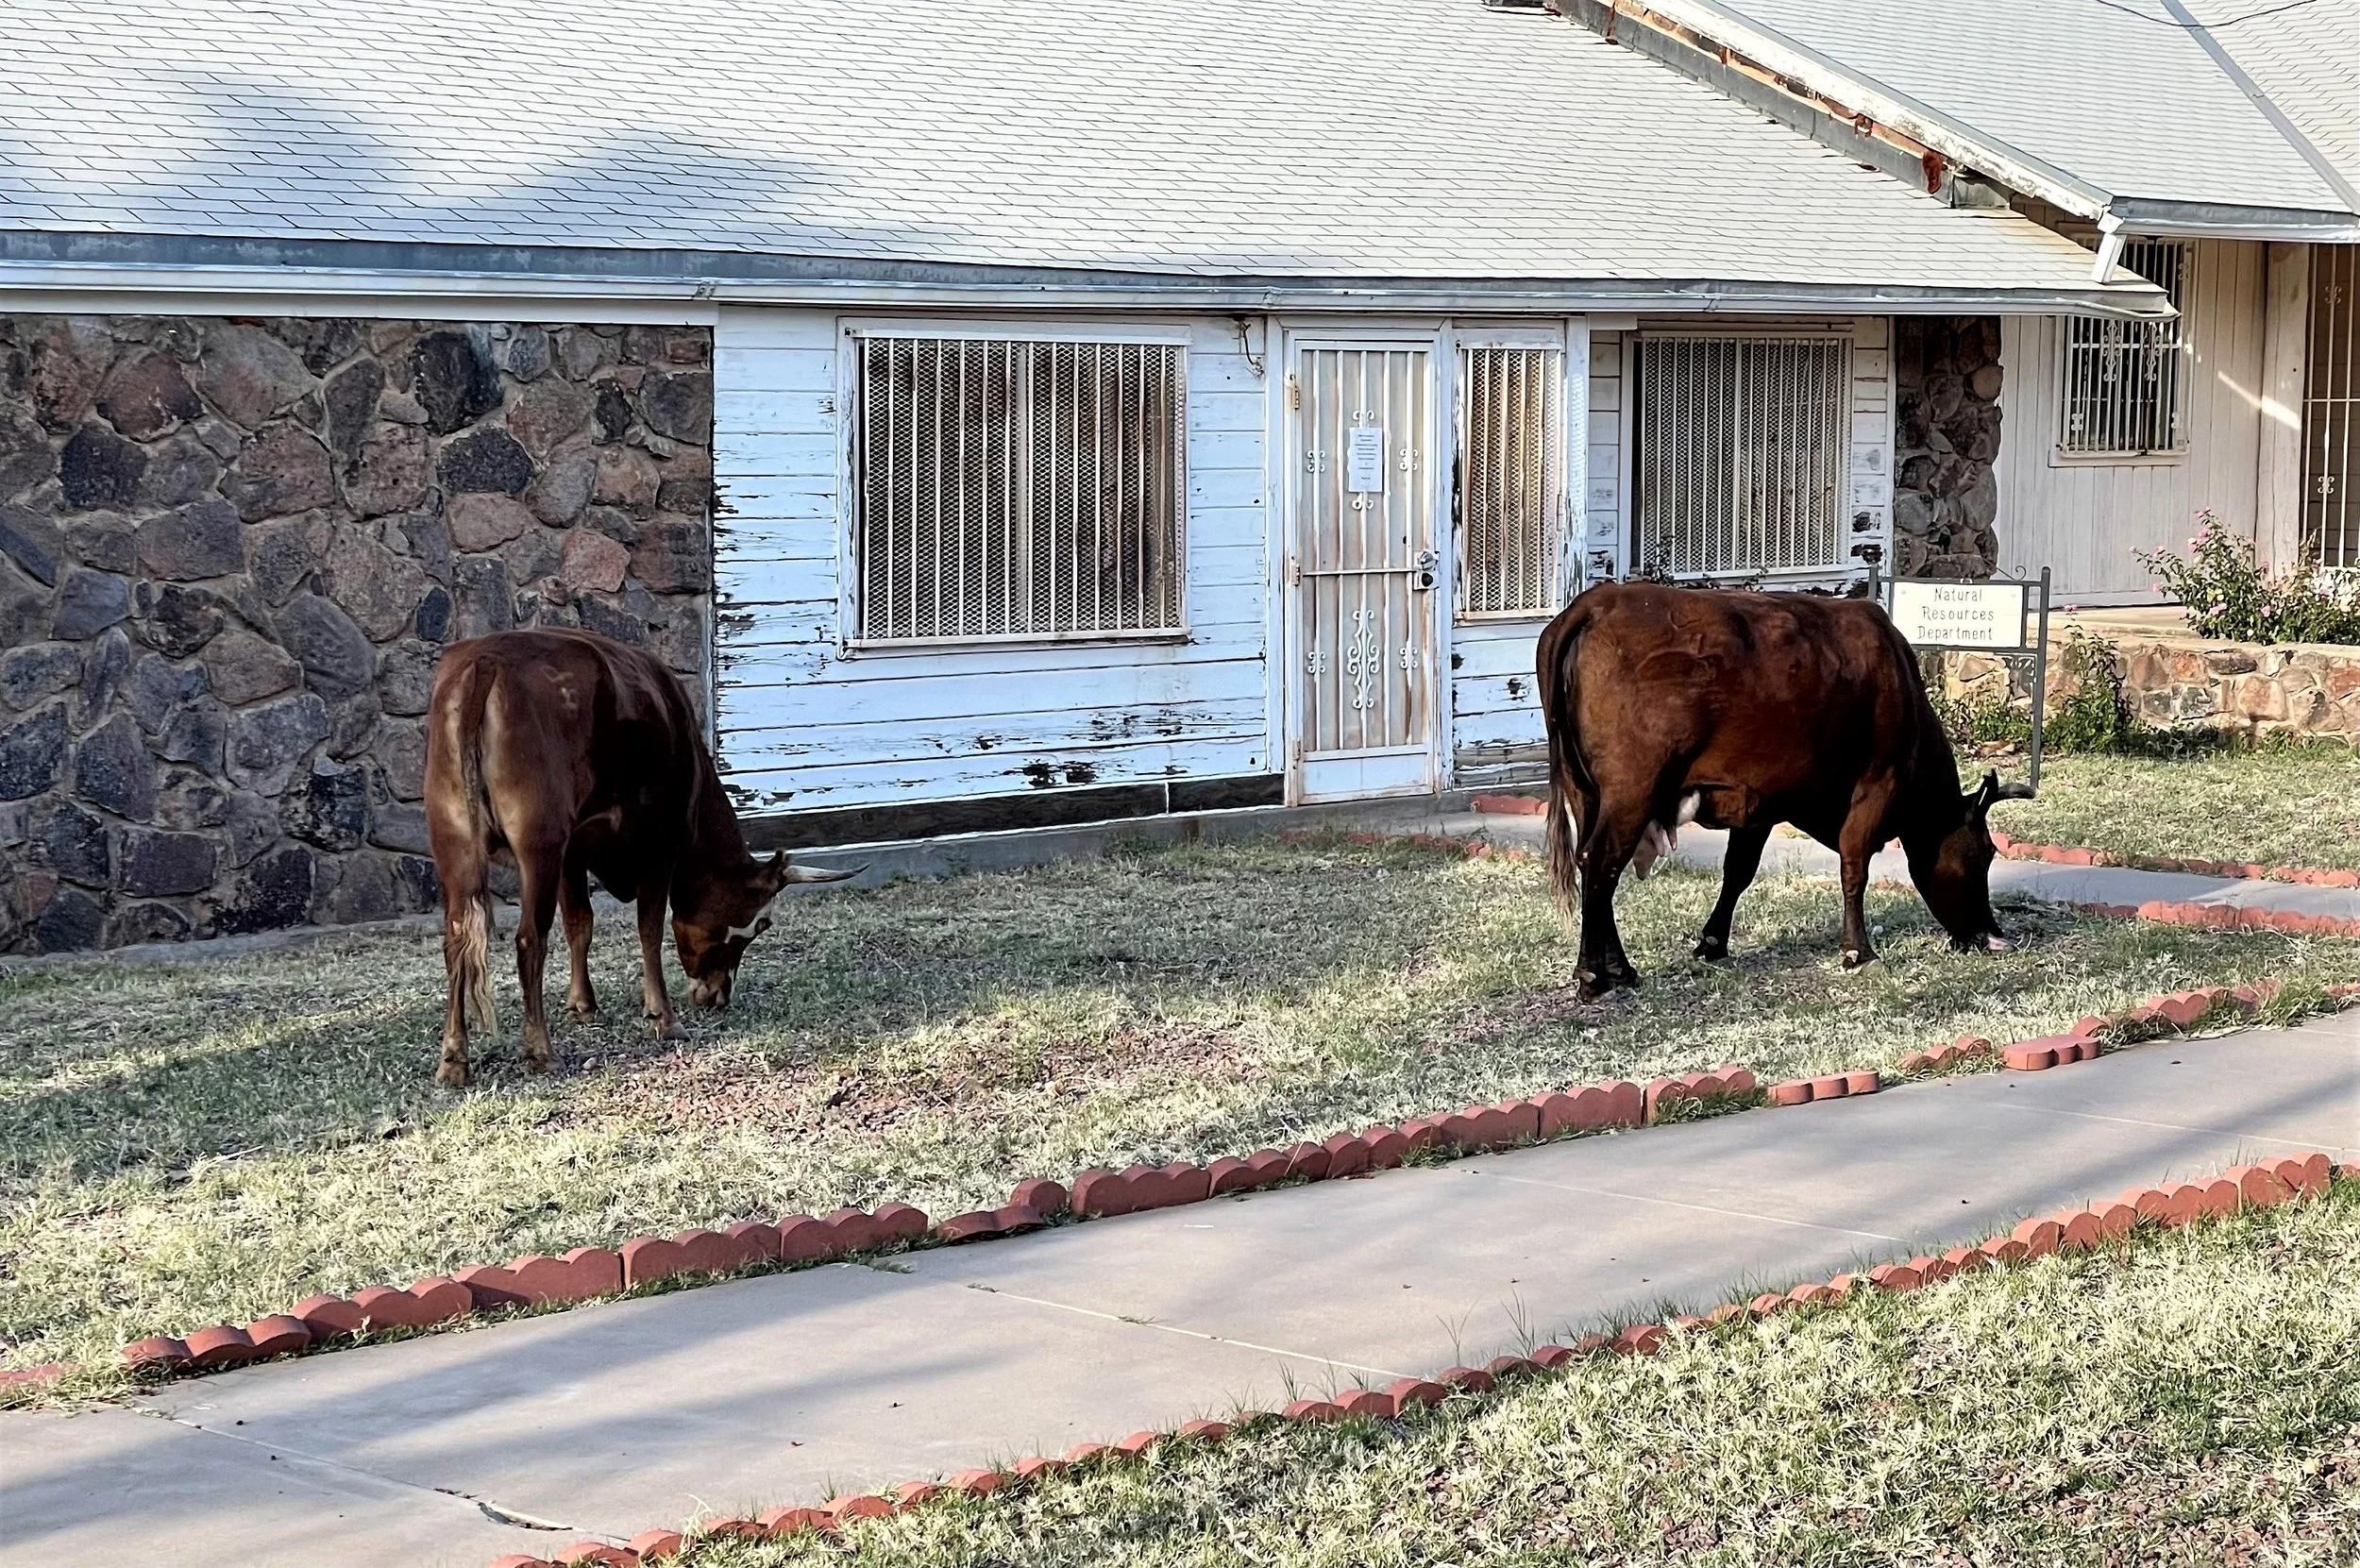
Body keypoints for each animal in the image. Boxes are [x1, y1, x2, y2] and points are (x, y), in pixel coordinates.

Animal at [424, 628, 855, 1087]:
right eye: (759, 925)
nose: (719, 995)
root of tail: (487, 659)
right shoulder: (657, 848)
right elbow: (649, 930)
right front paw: (663, 1017)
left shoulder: (573, 855)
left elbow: (580, 924)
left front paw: (583, 1005)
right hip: (538, 845)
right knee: (529, 939)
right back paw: (540, 1051)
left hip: (455, 840)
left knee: (456, 941)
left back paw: (454, 1058)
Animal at [1535, 582, 2031, 995]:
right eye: (1986, 853)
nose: (1994, 936)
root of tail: (1598, 601)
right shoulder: (1878, 781)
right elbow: (1855, 865)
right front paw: (1859, 952)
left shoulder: (1757, 800)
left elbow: (1738, 871)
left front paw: (1713, 942)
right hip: (1632, 790)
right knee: (1602, 863)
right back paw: (1595, 975)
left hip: (1586, 791)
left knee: (1593, 866)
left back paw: (1618, 968)